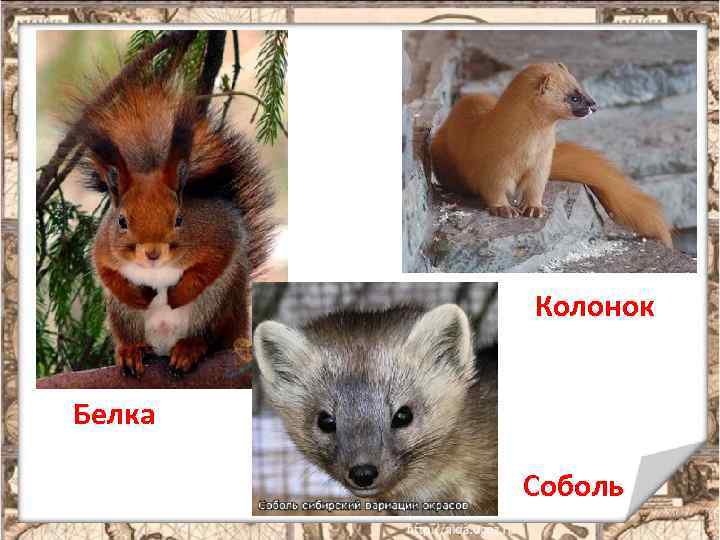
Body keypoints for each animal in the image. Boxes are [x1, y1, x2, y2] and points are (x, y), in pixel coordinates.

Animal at [72, 75, 275, 377]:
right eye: (121, 221)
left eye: (179, 219)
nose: (152, 253)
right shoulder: (103, 247)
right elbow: (106, 272)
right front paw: (136, 295)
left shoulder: (220, 233)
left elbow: (211, 265)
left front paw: (180, 293)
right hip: (123, 316)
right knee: (130, 334)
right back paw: (132, 350)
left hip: (217, 304)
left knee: (207, 335)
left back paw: (190, 348)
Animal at [430, 62, 672, 248]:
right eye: (573, 97)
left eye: (581, 86)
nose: (594, 104)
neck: (528, 149)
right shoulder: (494, 164)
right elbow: (493, 188)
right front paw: (504, 209)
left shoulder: (542, 162)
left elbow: (536, 186)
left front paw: (534, 208)